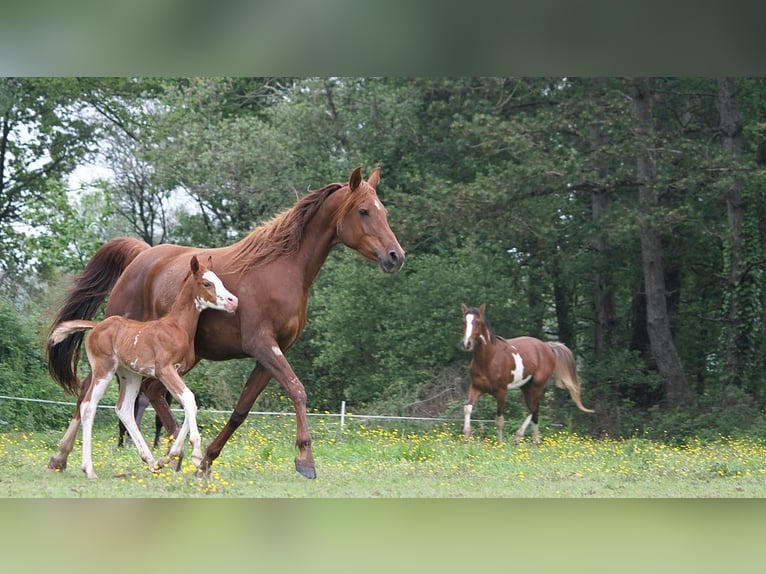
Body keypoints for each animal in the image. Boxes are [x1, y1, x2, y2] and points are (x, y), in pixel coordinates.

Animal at [49, 258, 238, 482]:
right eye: (207, 283)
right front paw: (195, 454)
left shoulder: (174, 372)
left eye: (219, 280)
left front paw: (170, 456)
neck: (177, 327)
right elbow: (189, 400)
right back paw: (89, 469)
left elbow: (189, 404)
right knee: (88, 406)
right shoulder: (165, 370)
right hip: (104, 369)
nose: (233, 301)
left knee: (123, 409)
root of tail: (96, 326)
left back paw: (151, 461)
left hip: (130, 375)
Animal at [460, 306, 596, 446]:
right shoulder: (476, 388)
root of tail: (547, 346)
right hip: (526, 387)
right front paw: (466, 437)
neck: (489, 359)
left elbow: (499, 420)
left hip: (538, 385)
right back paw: (536, 441)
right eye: (464, 322)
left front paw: (500, 443)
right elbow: (467, 408)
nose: (467, 344)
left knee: (533, 408)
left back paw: (518, 437)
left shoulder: (502, 392)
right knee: (535, 410)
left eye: (478, 322)